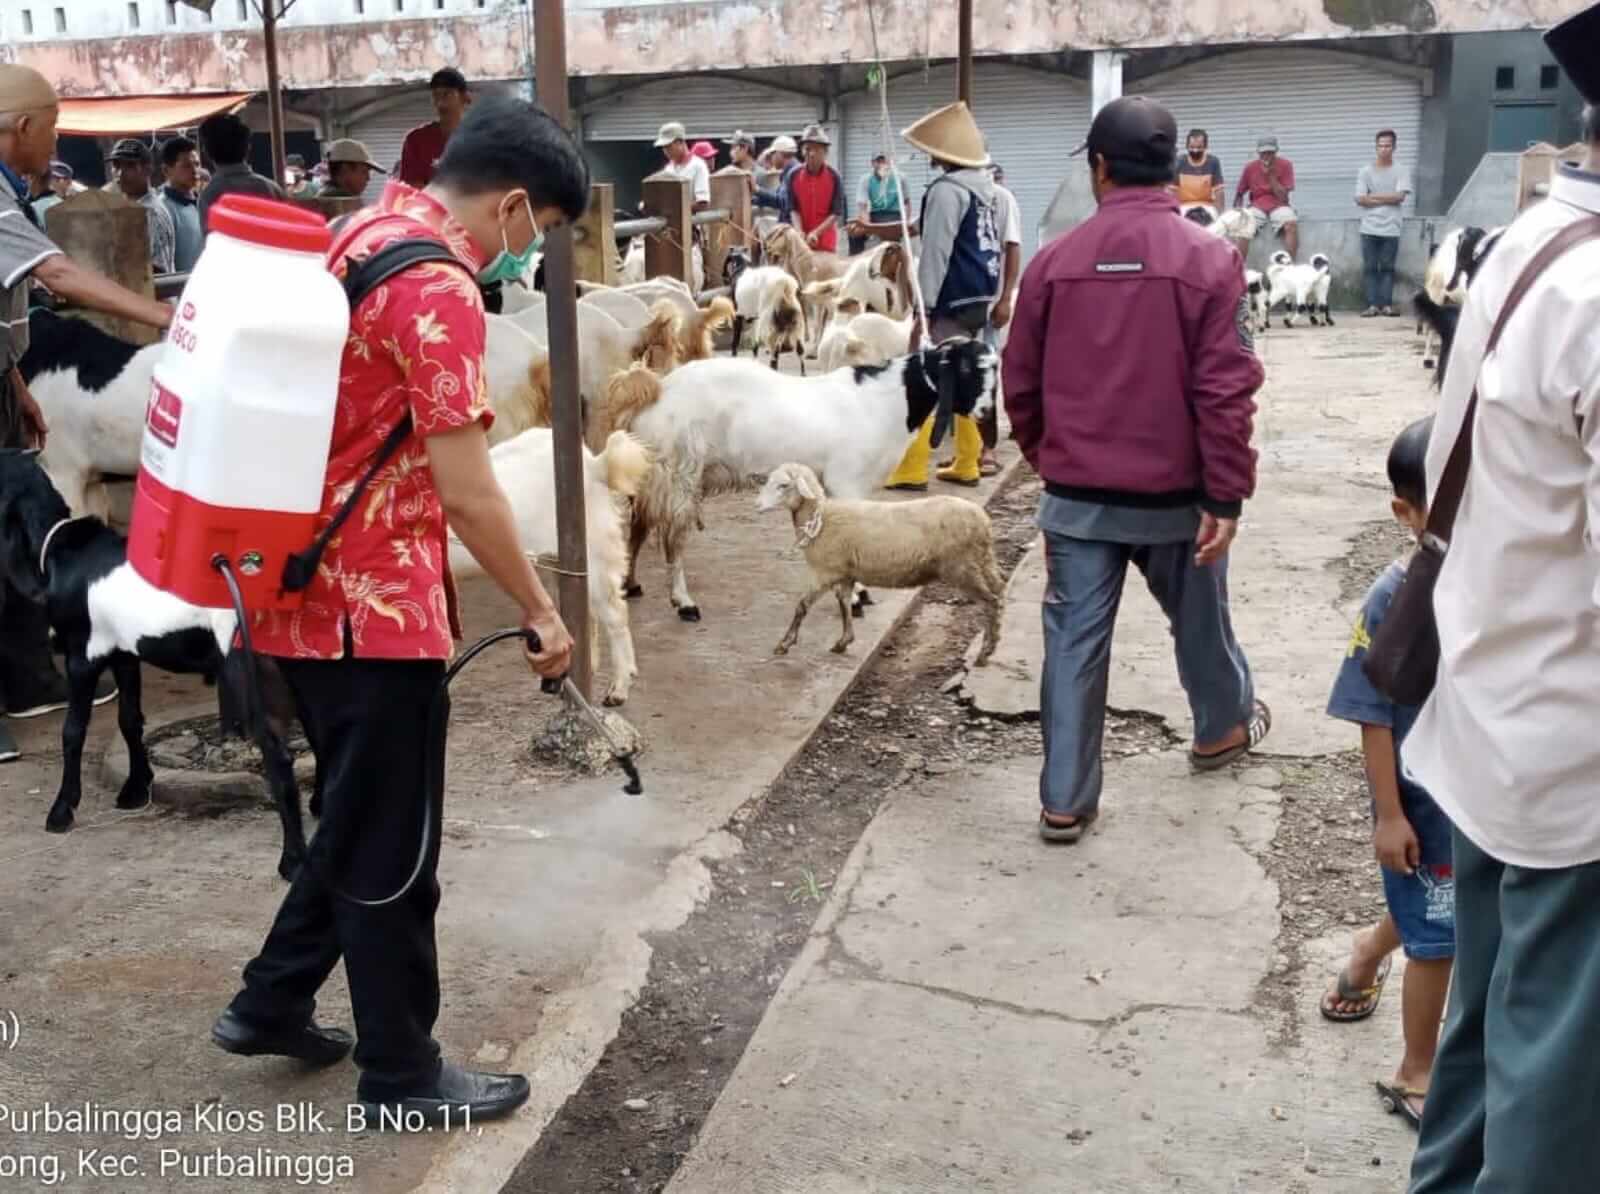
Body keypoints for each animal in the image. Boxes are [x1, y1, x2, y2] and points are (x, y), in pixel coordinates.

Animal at [752, 457, 998, 659]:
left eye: (784, 485)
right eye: (768, 481)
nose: (757, 505)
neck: (820, 517)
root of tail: (982, 519)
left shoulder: (826, 572)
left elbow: (802, 606)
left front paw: (785, 644)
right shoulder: (846, 574)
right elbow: (844, 604)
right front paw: (844, 641)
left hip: (962, 566)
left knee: (991, 600)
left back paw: (987, 649)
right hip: (982, 561)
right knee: (999, 591)